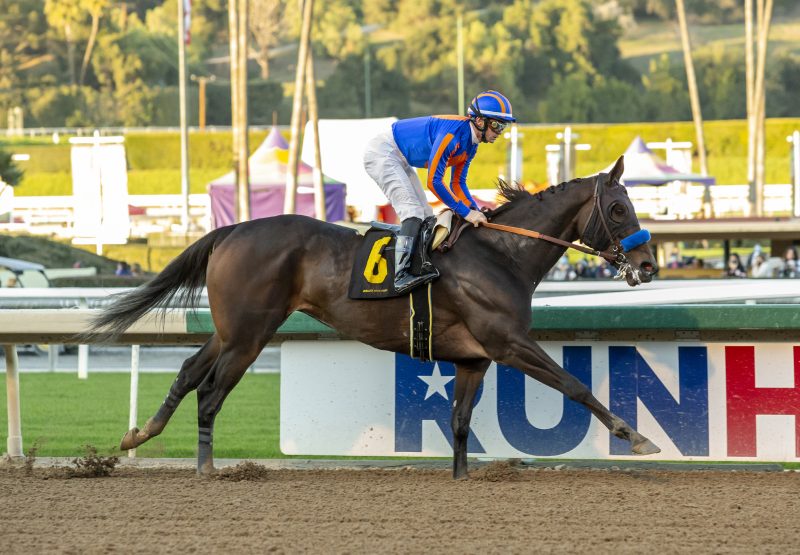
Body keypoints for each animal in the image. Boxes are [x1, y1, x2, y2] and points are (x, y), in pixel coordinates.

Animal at [89, 155, 664, 478]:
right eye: (618, 209)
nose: (647, 264)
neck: (501, 254)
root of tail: (230, 230)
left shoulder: (474, 359)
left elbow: (459, 422)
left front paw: (461, 478)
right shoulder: (508, 343)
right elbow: (574, 385)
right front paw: (635, 436)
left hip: (232, 329)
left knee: (189, 372)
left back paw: (138, 435)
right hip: (250, 335)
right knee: (210, 392)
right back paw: (206, 468)